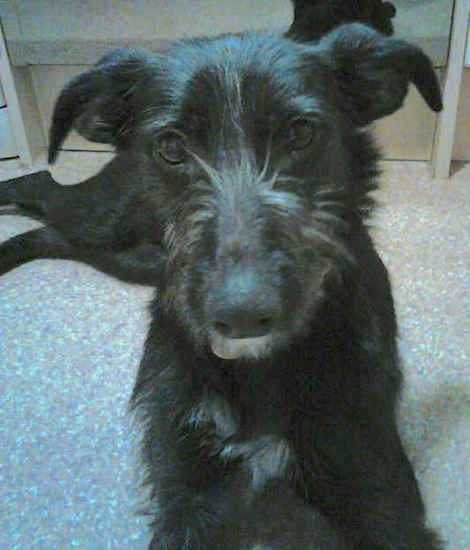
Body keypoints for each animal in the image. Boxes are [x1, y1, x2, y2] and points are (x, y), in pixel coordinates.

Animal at [0, 7, 444, 550]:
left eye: (300, 134)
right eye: (171, 146)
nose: (242, 315)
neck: (261, 370)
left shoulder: (378, 493)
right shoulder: (185, 494)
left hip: (125, 251)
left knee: (51, 226)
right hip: (108, 217)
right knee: (40, 185)